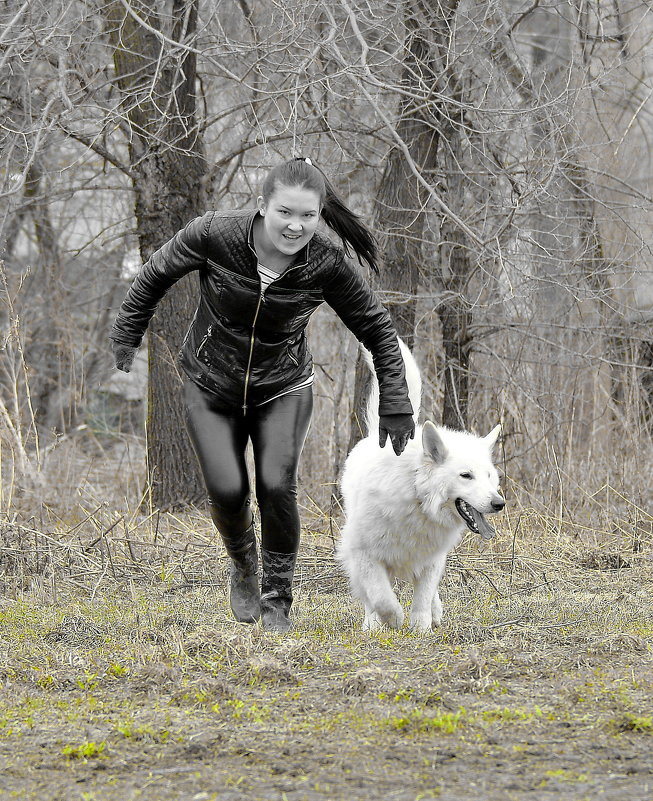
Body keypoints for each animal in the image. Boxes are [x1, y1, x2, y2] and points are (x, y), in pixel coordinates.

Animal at [336, 340, 504, 636]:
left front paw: (421, 628)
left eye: (488, 476)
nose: (499, 503)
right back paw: (373, 623)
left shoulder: (431, 559)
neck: (417, 500)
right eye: (466, 475)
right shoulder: (364, 554)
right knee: (370, 597)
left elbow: (424, 595)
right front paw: (391, 620)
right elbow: (381, 597)